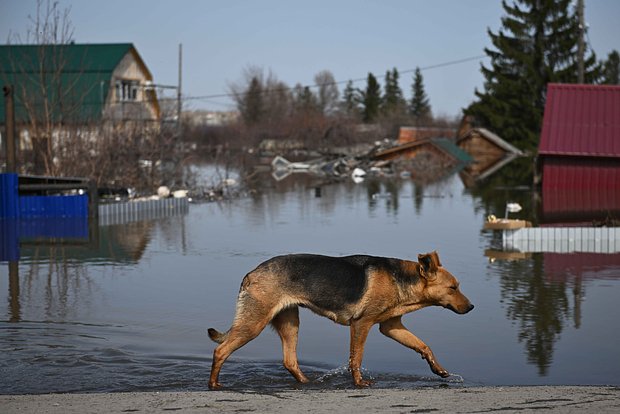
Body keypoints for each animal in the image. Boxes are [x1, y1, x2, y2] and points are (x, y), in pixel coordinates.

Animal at [208, 251, 474, 390]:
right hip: (254, 324)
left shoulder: (391, 326)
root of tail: (251, 274)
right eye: (453, 288)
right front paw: (359, 383)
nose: (471, 307)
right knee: (220, 351)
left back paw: (308, 383)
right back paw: (213, 385)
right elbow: (356, 359)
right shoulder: (361, 324)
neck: (400, 280)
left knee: (290, 361)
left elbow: (423, 345)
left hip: (289, 323)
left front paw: (438, 370)